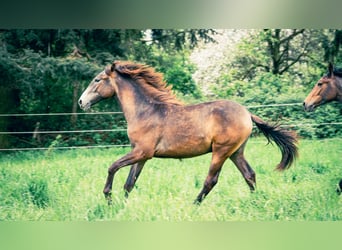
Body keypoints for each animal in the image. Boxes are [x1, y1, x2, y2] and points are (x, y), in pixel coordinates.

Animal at [79, 61, 298, 204]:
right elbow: (129, 183)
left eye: (97, 80)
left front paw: (108, 197)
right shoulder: (141, 155)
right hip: (236, 152)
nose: (81, 102)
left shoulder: (142, 152)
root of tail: (247, 113)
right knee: (249, 174)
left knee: (211, 181)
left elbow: (112, 167)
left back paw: (194, 205)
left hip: (221, 151)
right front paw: (122, 206)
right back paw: (256, 201)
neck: (145, 111)